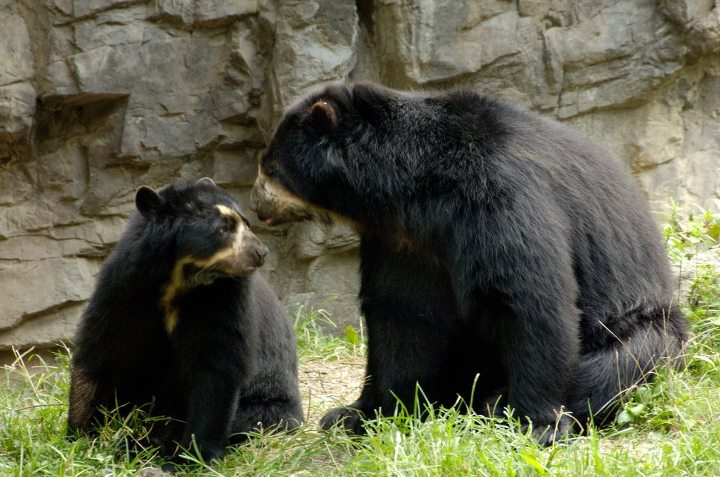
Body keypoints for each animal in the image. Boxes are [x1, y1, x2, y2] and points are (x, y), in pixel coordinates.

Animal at [68, 178, 304, 462]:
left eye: (245, 223)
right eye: (223, 229)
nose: (261, 252)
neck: (179, 279)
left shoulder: (225, 300)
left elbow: (217, 367)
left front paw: (194, 454)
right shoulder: (126, 286)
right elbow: (101, 348)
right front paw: (80, 435)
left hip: (266, 406)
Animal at [250, 81, 688, 442]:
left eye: (269, 167)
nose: (255, 207)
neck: (412, 195)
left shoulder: (499, 196)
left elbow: (527, 299)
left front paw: (536, 423)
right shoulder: (401, 243)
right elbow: (403, 315)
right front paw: (362, 414)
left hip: (646, 328)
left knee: (620, 362)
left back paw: (495, 403)